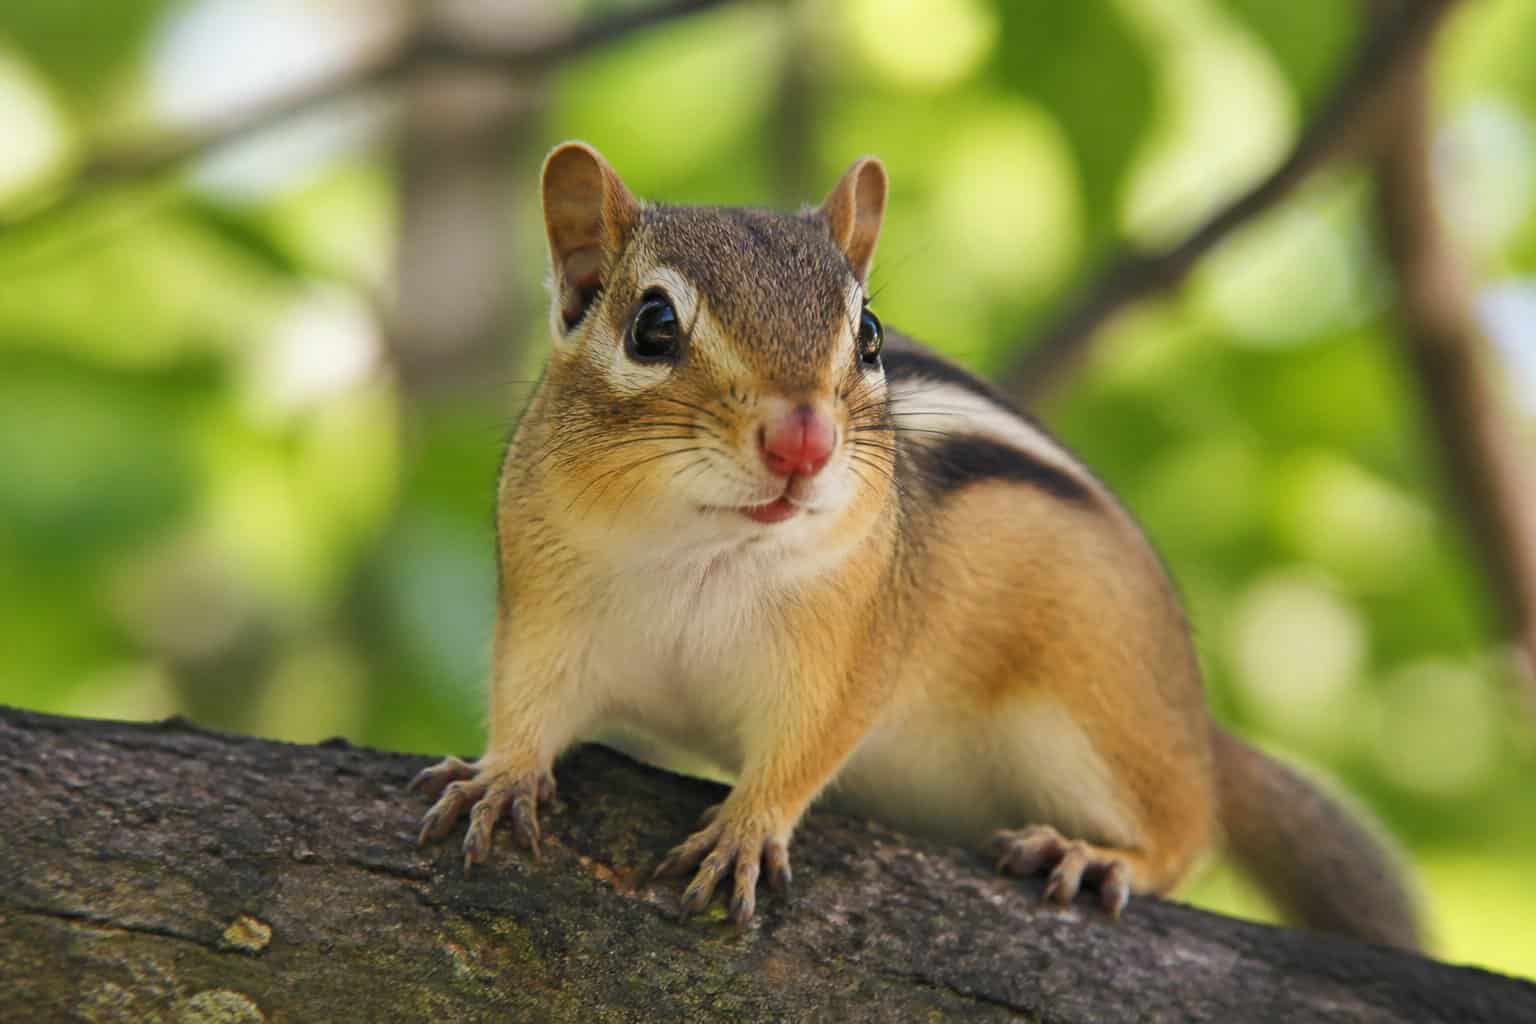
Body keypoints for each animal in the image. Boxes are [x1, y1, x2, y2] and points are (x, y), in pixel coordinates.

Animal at [409, 140, 1423, 950]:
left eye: (868, 333)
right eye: (651, 326)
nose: (804, 441)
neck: (702, 553)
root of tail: (1195, 724)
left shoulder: (848, 651)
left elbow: (806, 748)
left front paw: (747, 830)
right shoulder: (545, 609)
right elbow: (528, 703)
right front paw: (501, 777)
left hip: (1102, 706)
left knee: (1182, 832)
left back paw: (1096, 854)